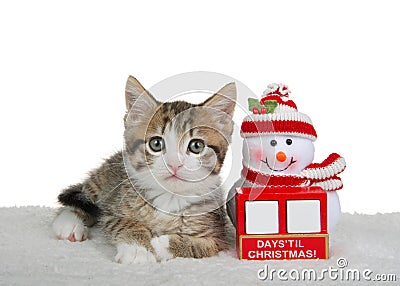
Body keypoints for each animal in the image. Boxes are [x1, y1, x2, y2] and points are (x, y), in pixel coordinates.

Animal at [51, 76, 236, 264]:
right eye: (156, 143)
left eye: (196, 146)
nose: (174, 164)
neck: (169, 199)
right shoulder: (112, 211)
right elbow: (125, 223)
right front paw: (137, 249)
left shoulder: (219, 235)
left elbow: (201, 247)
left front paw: (161, 244)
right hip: (104, 180)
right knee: (81, 198)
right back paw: (69, 223)